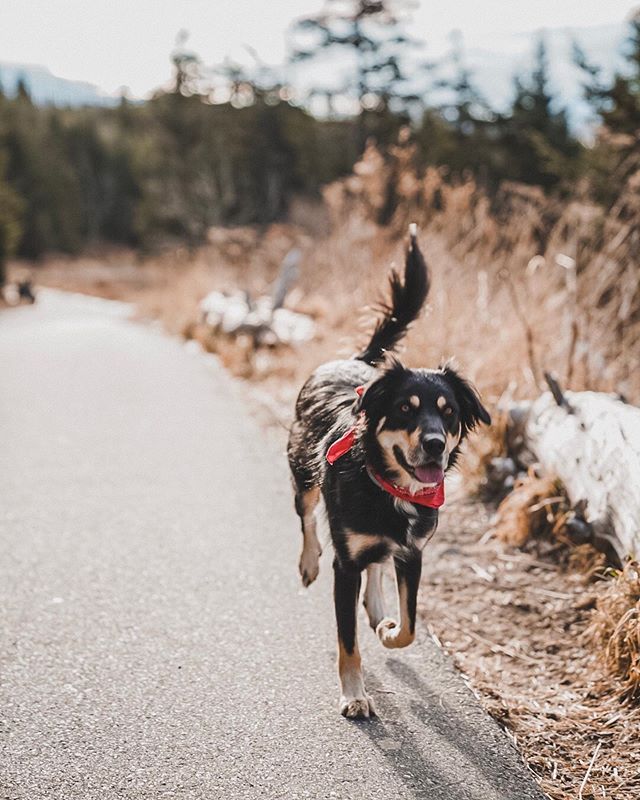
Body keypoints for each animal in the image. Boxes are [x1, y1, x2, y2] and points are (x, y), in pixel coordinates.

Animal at [286, 225, 490, 720]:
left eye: (449, 413)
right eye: (405, 409)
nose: (435, 443)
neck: (387, 487)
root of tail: (357, 361)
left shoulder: (412, 553)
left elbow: (411, 624)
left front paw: (388, 629)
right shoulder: (344, 565)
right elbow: (348, 643)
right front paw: (355, 695)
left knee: (376, 566)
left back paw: (378, 608)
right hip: (302, 473)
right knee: (306, 517)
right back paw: (307, 561)